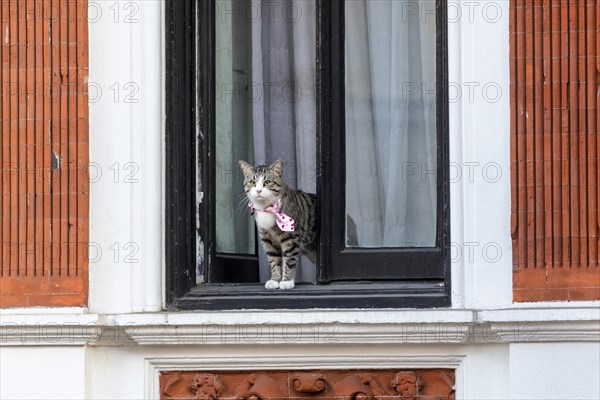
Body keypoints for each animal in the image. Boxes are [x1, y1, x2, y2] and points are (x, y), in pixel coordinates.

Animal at [239, 159, 316, 290]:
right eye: (252, 182)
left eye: (267, 182)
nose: (258, 190)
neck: (267, 208)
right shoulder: (267, 238)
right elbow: (273, 260)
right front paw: (275, 280)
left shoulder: (291, 237)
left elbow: (289, 259)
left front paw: (286, 281)